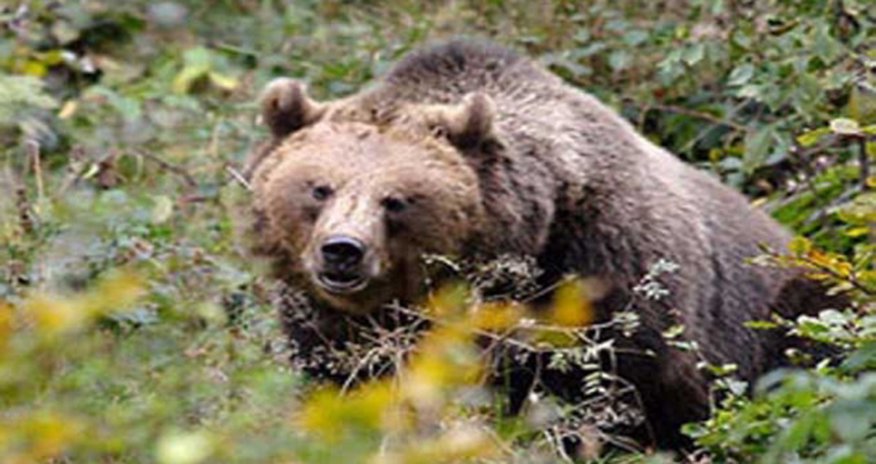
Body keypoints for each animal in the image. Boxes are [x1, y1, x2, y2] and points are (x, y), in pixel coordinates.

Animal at [245, 39, 842, 449]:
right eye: (319, 188)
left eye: (397, 200)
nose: (342, 251)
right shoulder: (328, 324)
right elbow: (344, 387)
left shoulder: (603, 277)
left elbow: (609, 396)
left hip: (788, 309)